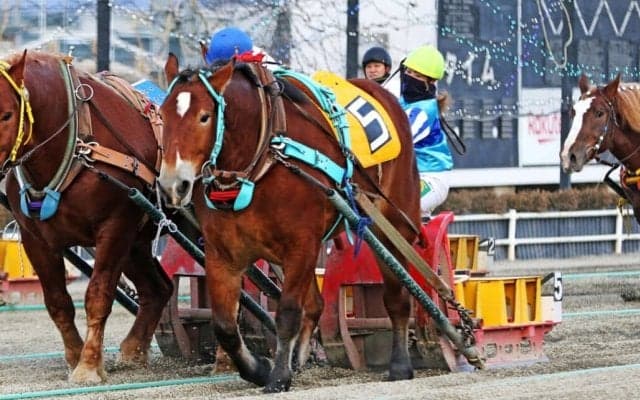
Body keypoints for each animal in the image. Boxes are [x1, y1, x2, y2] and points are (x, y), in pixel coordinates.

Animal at [0, 50, 173, 383]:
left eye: (6, 115)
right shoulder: (35, 238)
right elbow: (58, 302)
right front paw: (74, 355)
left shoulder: (115, 227)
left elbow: (98, 295)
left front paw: (89, 364)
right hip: (137, 241)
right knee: (158, 289)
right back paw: (134, 349)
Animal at [157, 54, 422, 392]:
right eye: (162, 115)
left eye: (204, 117)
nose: (173, 184)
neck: (261, 159)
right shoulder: (222, 252)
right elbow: (225, 326)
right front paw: (259, 368)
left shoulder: (301, 244)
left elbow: (287, 313)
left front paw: (278, 375)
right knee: (316, 305)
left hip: (393, 220)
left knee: (397, 295)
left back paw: (400, 363)